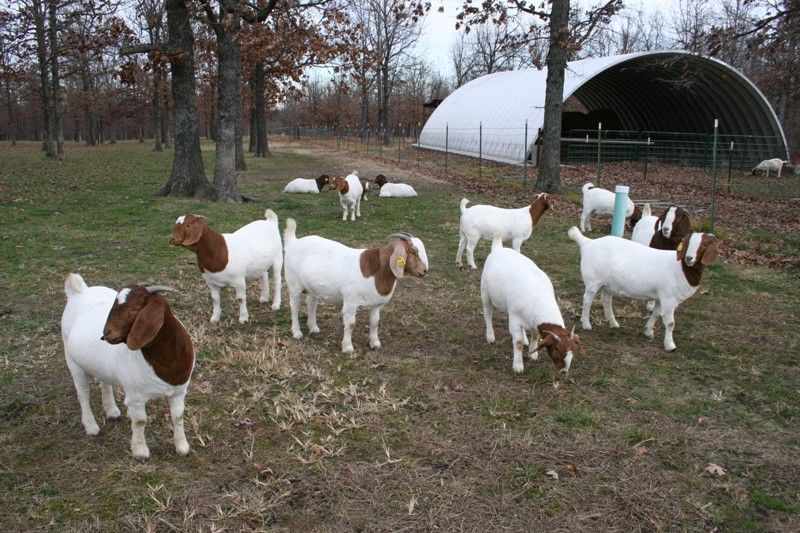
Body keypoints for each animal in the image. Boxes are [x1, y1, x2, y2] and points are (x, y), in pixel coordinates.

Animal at [61, 274, 194, 459]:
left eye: (133, 310)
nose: (105, 334)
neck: (167, 363)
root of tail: (79, 291)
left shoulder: (179, 391)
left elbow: (178, 417)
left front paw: (182, 447)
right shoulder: (136, 397)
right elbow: (140, 422)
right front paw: (140, 451)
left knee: (104, 383)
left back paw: (111, 411)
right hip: (73, 361)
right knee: (83, 394)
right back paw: (91, 427)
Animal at [283, 218, 428, 353]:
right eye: (412, 251)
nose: (425, 271)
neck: (375, 269)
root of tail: (293, 242)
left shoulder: (376, 304)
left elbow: (375, 322)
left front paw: (375, 343)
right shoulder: (350, 302)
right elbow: (350, 324)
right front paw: (347, 348)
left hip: (313, 287)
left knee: (311, 303)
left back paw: (313, 328)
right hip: (294, 283)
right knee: (294, 306)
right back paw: (297, 332)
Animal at [481, 237, 582, 374]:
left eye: (573, 350)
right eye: (557, 349)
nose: (564, 371)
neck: (540, 298)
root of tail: (498, 248)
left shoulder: (533, 322)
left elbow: (535, 336)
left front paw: (533, 354)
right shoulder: (516, 319)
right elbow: (517, 342)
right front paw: (518, 366)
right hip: (485, 293)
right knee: (487, 314)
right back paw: (490, 336)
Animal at [568, 227, 719, 351]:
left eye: (704, 244)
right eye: (687, 244)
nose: (689, 258)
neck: (680, 268)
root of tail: (588, 243)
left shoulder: (661, 297)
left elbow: (656, 313)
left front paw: (648, 331)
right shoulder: (669, 299)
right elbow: (670, 323)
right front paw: (670, 345)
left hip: (608, 284)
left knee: (606, 299)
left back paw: (613, 322)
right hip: (593, 280)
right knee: (587, 300)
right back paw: (586, 324)